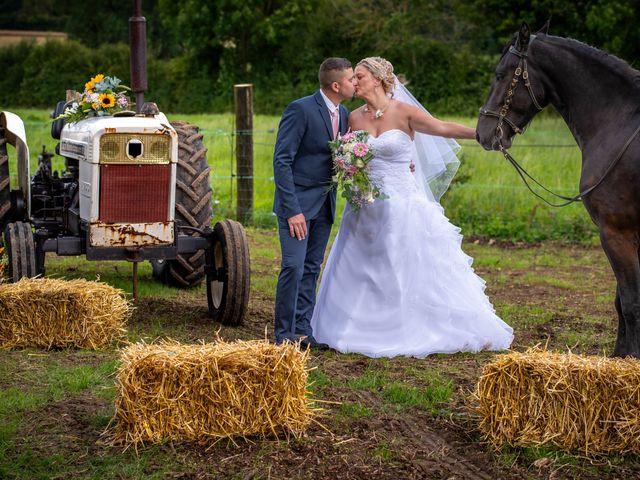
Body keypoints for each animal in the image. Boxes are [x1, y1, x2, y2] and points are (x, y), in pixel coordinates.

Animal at [478, 24, 640, 358]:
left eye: (500, 74)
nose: (482, 133)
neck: (619, 123)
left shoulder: (616, 231)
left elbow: (630, 302)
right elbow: (622, 300)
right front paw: (620, 356)